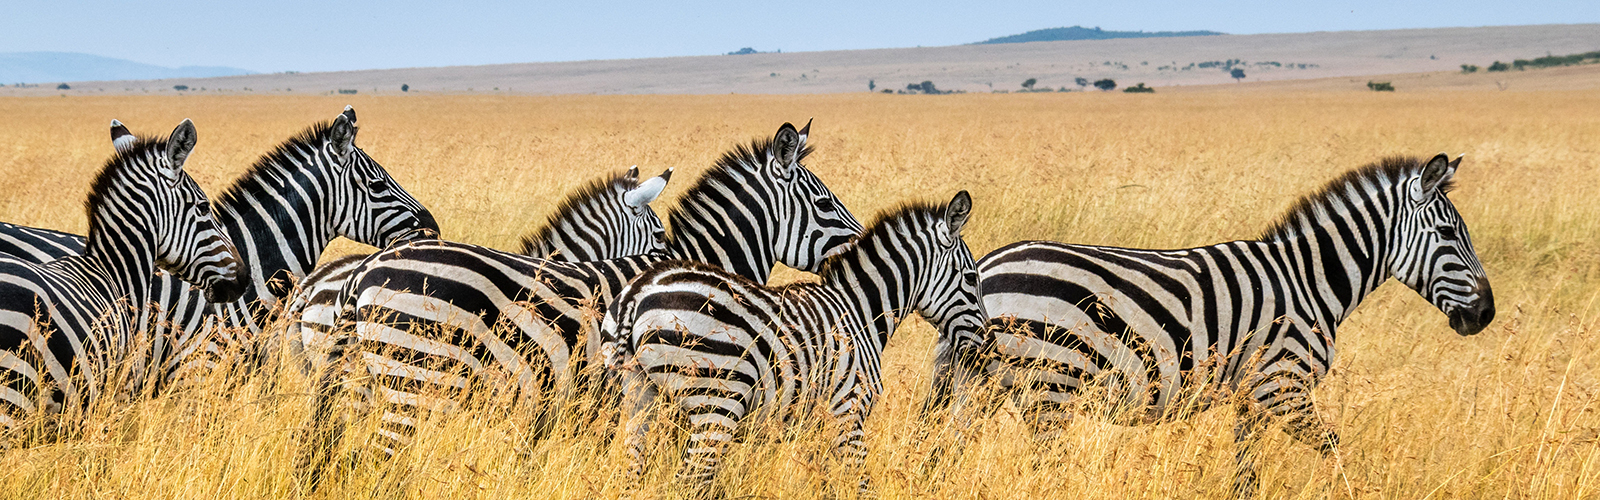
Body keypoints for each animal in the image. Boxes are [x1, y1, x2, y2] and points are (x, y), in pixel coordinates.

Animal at [602, 191, 984, 494]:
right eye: (971, 277)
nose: (984, 343)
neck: (859, 311)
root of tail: (639, 292)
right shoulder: (848, 410)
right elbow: (860, 482)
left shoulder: (816, 423)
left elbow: (826, 482)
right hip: (716, 403)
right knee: (691, 481)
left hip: (639, 396)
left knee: (632, 474)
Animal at [962, 153, 1494, 495]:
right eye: (1448, 233)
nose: (1486, 314)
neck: (1308, 280)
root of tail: (985, 266)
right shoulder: (1282, 386)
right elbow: (1336, 450)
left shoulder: (1252, 397)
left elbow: (1246, 472)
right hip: (1050, 388)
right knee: (1041, 467)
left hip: (989, 386)